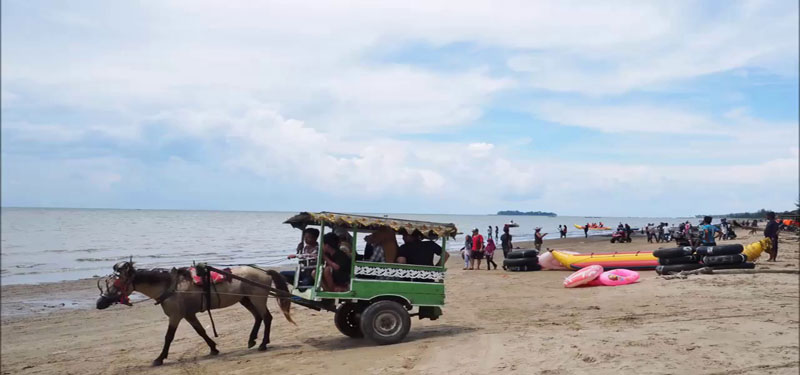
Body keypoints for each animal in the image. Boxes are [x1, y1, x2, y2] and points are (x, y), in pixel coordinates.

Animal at [95, 262, 292, 368]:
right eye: (108, 284)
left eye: (116, 284)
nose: (99, 303)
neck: (170, 286)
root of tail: (264, 271)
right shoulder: (189, 314)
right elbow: (201, 332)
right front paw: (213, 348)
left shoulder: (175, 316)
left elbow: (168, 337)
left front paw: (159, 358)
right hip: (246, 299)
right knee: (258, 318)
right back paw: (252, 340)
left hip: (257, 299)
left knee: (267, 318)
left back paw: (263, 344)